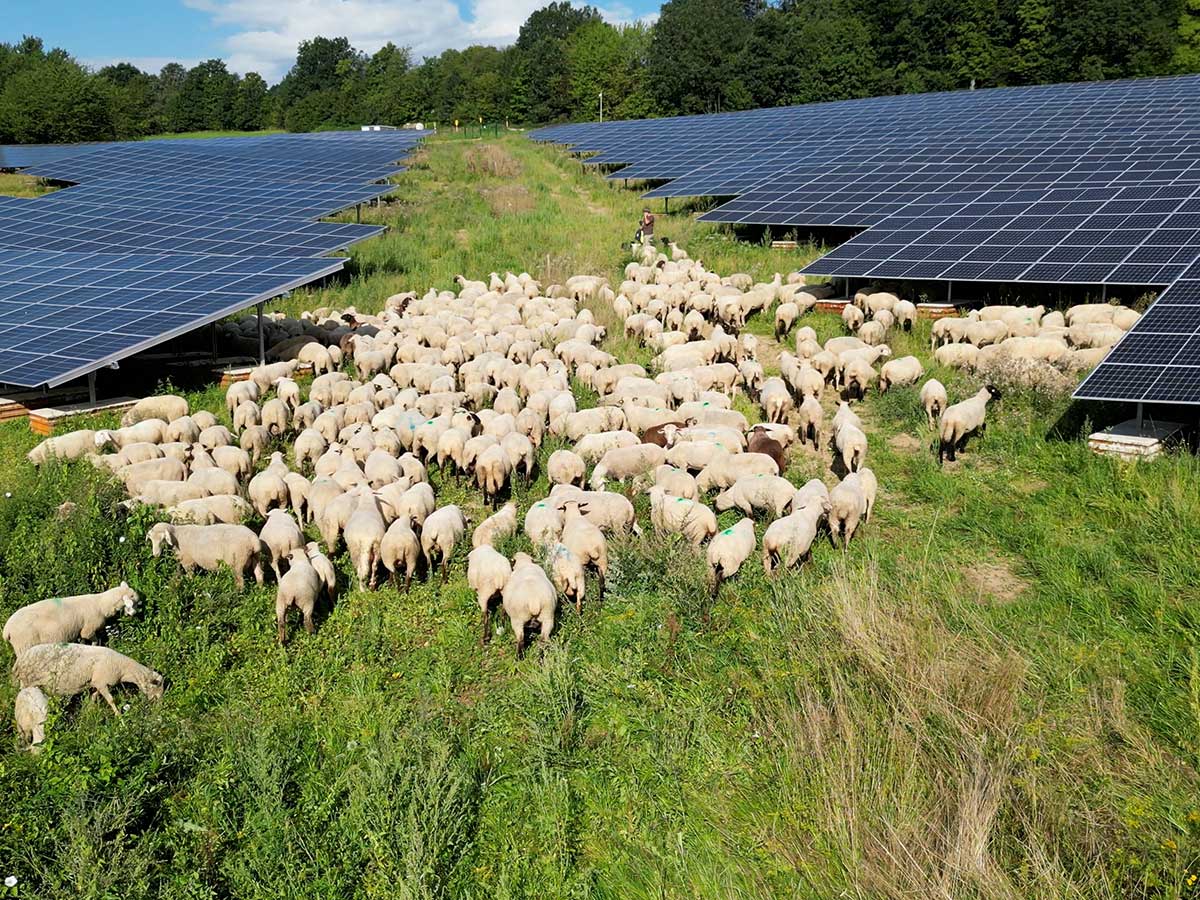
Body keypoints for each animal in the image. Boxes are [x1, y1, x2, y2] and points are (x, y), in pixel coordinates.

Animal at [3, 585, 138, 657]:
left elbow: (83, 641)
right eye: (134, 602)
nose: (134, 614)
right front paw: (95, 646)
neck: (101, 604)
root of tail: (6, 631)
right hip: (24, 645)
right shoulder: (89, 627)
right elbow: (90, 637)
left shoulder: (80, 631)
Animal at [12, 643, 164, 715]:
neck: (122, 668)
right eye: (157, 686)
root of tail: (19, 662)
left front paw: (89, 710)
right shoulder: (101, 681)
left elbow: (94, 696)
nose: (158, 704)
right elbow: (111, 700)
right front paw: (119, 717)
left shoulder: (97, 683)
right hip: (27, 682)